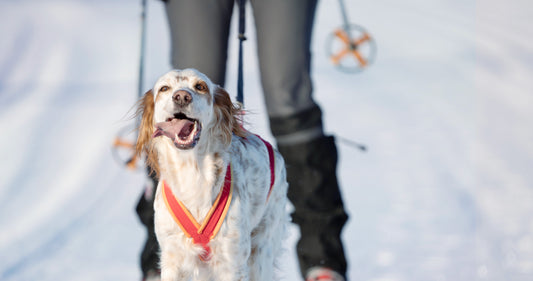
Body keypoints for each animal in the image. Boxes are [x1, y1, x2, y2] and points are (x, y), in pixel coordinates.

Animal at [135, 68, 288, 280]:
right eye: (164, 88)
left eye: (200, 86)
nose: (181, 96)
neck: (191, 170)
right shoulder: (173, 259)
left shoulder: (232, 262)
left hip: (261, 251)